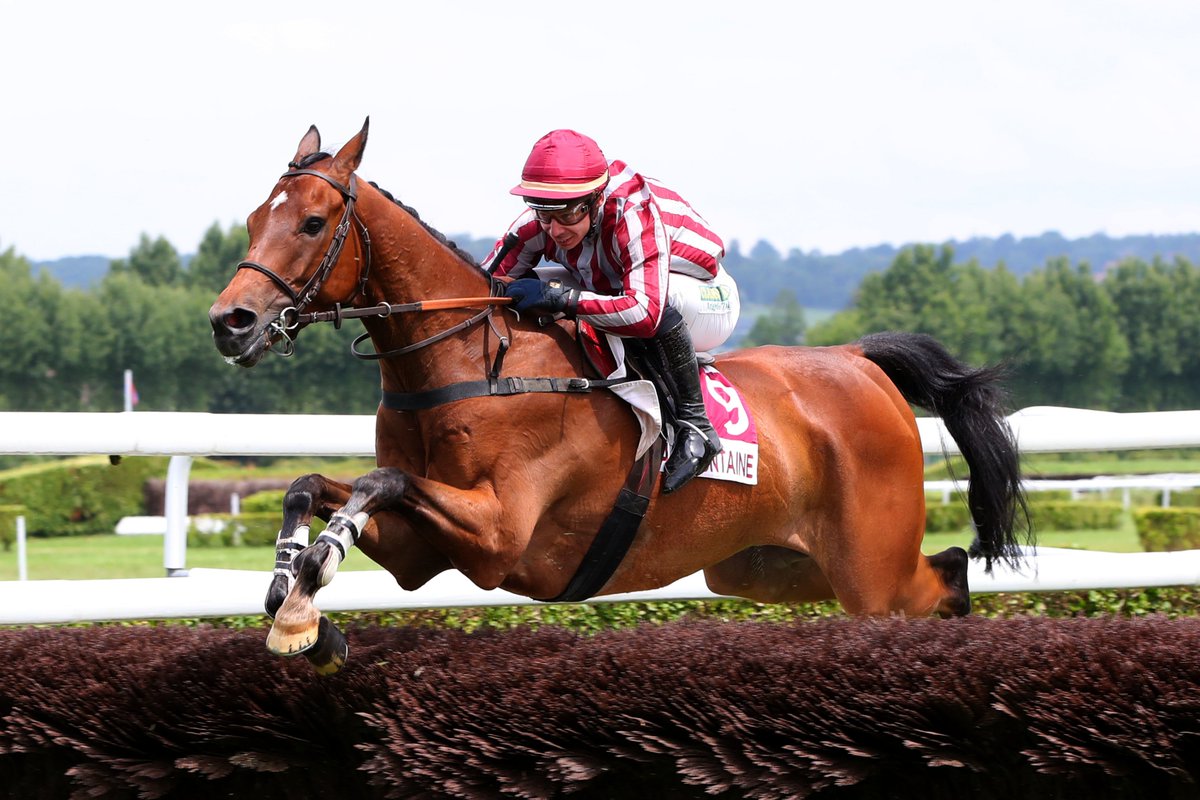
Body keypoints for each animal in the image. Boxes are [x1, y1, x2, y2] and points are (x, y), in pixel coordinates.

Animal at [208, 118, 1032, 671]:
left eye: (313, 222)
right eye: (252, 219)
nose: (229, 322)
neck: (470, 361)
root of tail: (859, 361)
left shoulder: (498, 535)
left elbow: (381, 479)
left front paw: (309, 586)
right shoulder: (423, 552)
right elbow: (311, 484)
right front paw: (295, 601)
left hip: (867, 566)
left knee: (939, 582)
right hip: (769, 564)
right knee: (943, 570)